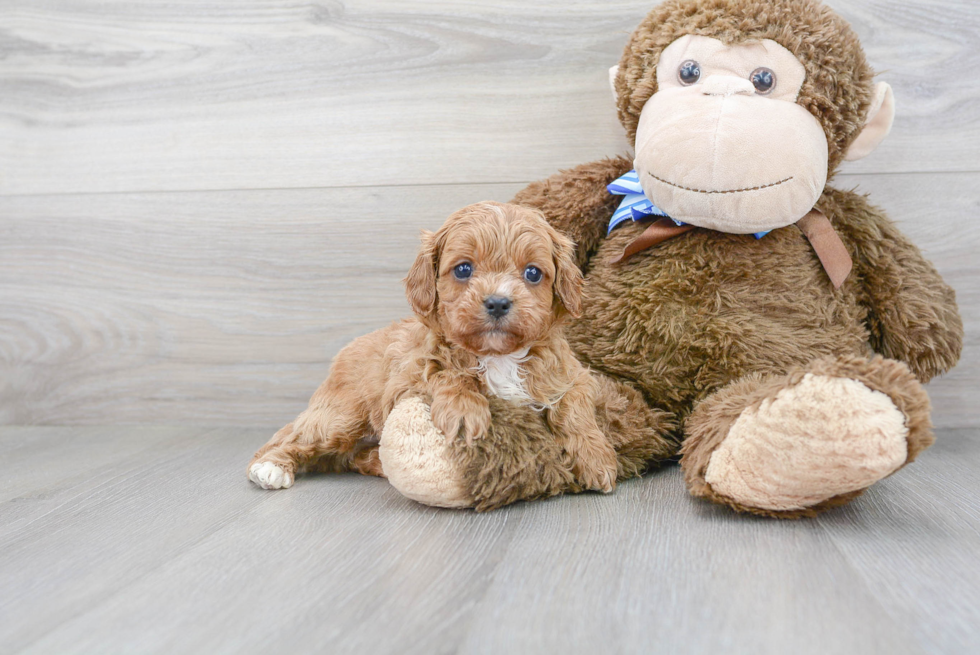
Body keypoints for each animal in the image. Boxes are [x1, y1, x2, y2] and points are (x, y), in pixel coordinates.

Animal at [251, 202, 620, 494]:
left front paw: (596, 458)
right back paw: (271, 467)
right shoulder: (408, 375)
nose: (498, 303)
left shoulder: (571, 374)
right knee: (294, 437)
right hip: (342, 415)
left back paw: (377, 463)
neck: (498, 356)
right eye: (463, 269)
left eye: (532, 273)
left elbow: (574, 408)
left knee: (353, 456)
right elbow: (446, 372)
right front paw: (465, 412)